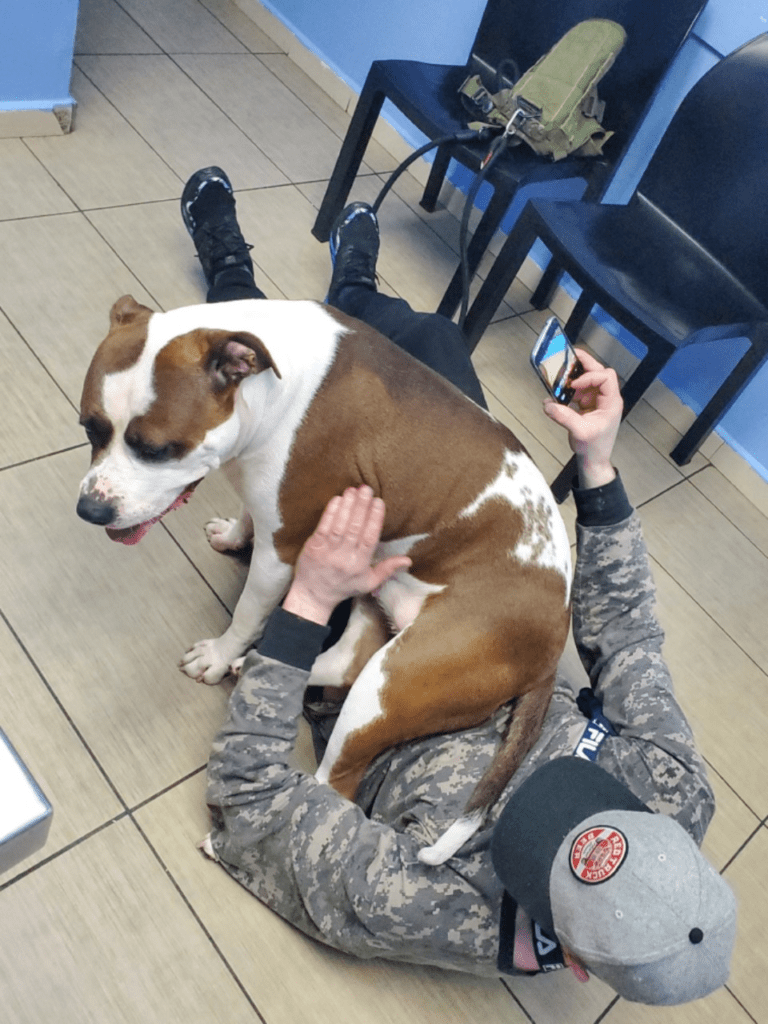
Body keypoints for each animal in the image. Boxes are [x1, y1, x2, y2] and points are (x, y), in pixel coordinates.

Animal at [78, 294, 573, 864]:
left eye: (157, 449)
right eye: (89, 428)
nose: (90, 509)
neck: (270, 387)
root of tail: (554, 639)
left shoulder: (282, 552)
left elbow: (247, 611)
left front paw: (219, 655)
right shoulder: (271, 510)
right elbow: (250, 517)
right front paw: (233, 534)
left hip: (391, 686)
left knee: (334, 787)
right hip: (377, 613)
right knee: (344, 665)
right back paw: (259, 665)